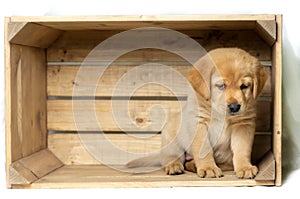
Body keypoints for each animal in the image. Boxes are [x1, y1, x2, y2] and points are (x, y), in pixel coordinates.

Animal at [127, 48, 268, 179]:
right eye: (221, 86)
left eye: (244, 86)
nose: (234, 107)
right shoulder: (198, 122)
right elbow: (203, 148)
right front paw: (208, 168)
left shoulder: (243, 124)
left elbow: (242, 149)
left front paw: (244, 167)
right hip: (171, 133)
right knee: (171, 157)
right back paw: (174, 165)